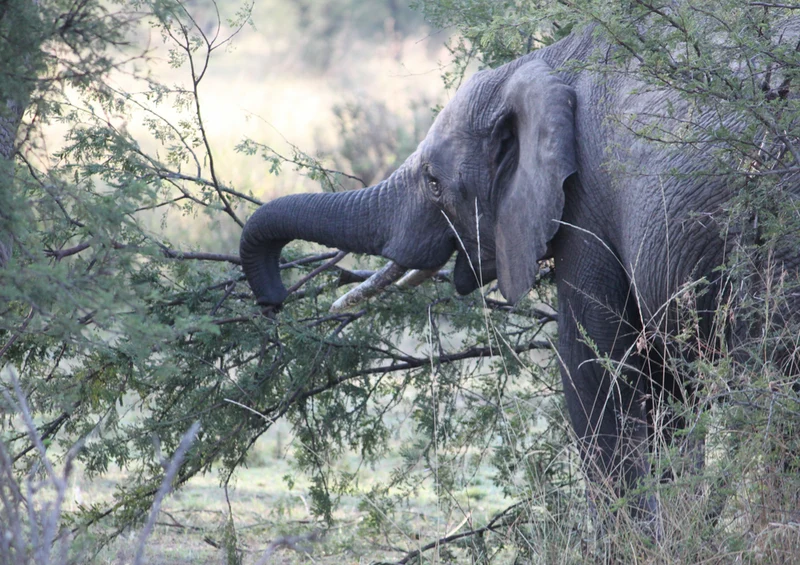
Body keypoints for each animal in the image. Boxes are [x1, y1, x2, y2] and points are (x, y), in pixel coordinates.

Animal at [239, 26, 795, 518]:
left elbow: (594, 366)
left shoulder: (585, 199)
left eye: (434, 183)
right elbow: (668, 385)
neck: (539, 63)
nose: (273, 302)